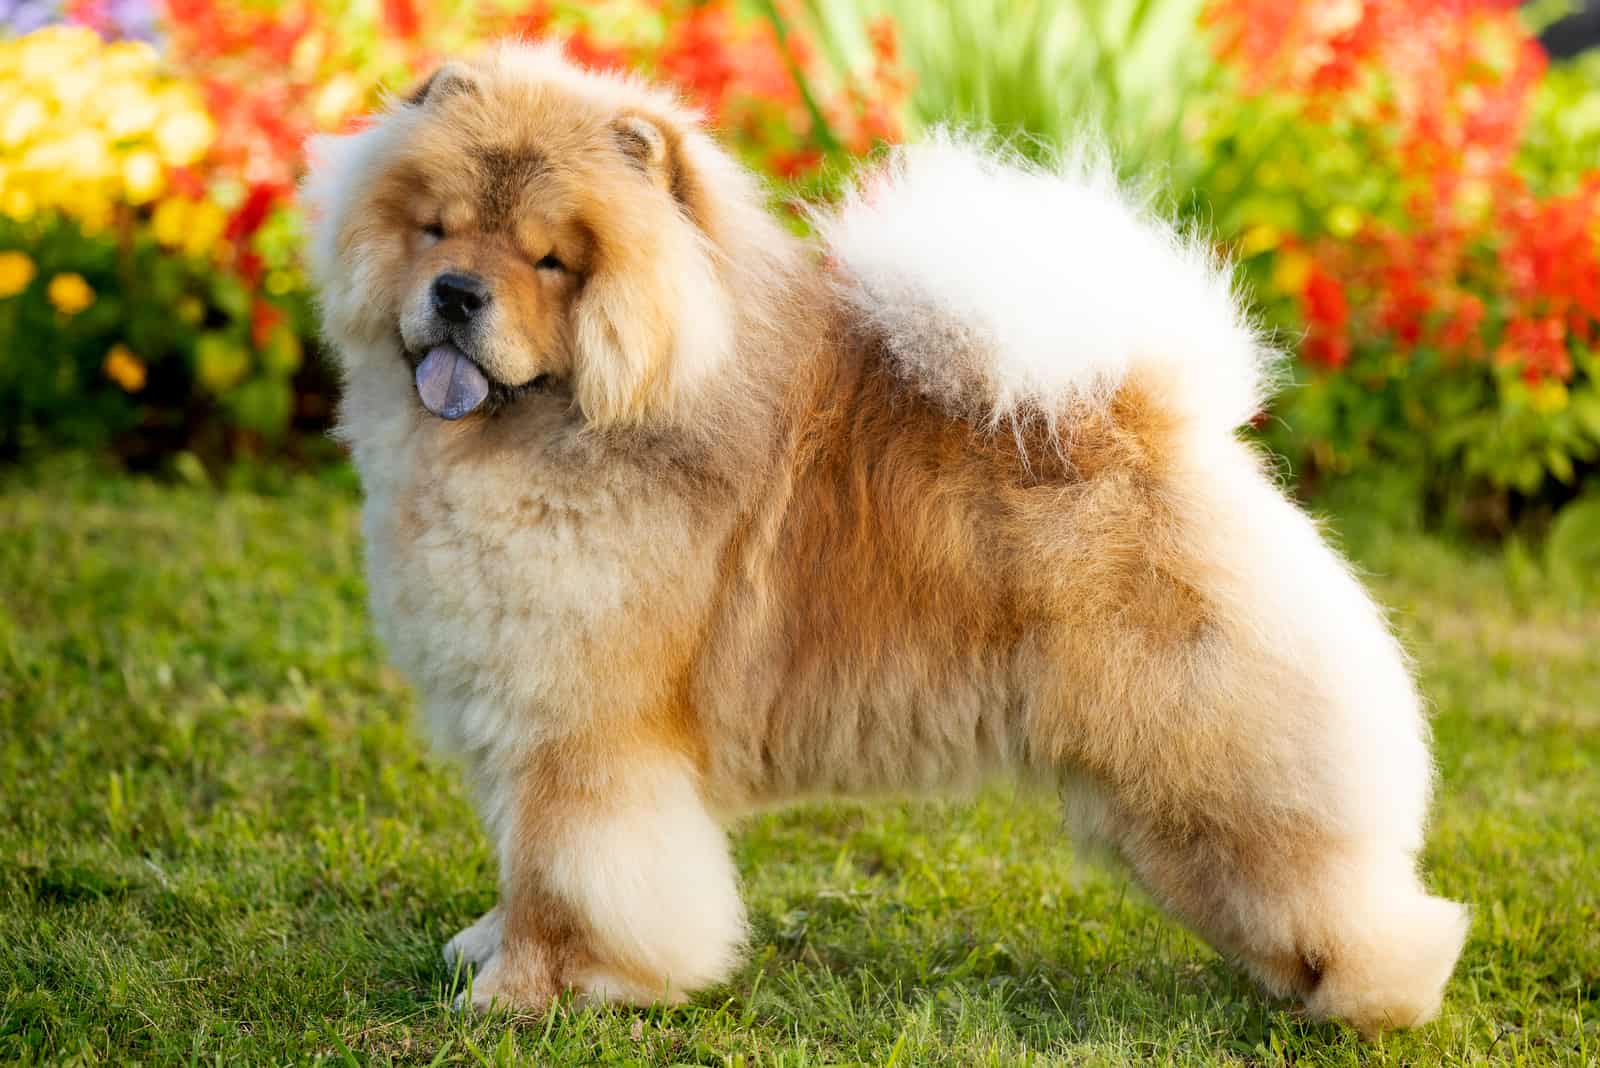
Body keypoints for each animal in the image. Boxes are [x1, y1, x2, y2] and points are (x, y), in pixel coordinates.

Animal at [300, 43, 1465, 1036]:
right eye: (436, 229)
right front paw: (486, 948)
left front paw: (525, 994)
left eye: (550, 260)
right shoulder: (512, 717)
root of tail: (1154, 425)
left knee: (1339, 887)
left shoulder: (582, 739)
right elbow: (517, 861)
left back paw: (1368, 997)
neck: (554, 434)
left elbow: (566, 879)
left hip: (1204, 764)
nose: (457, 293)